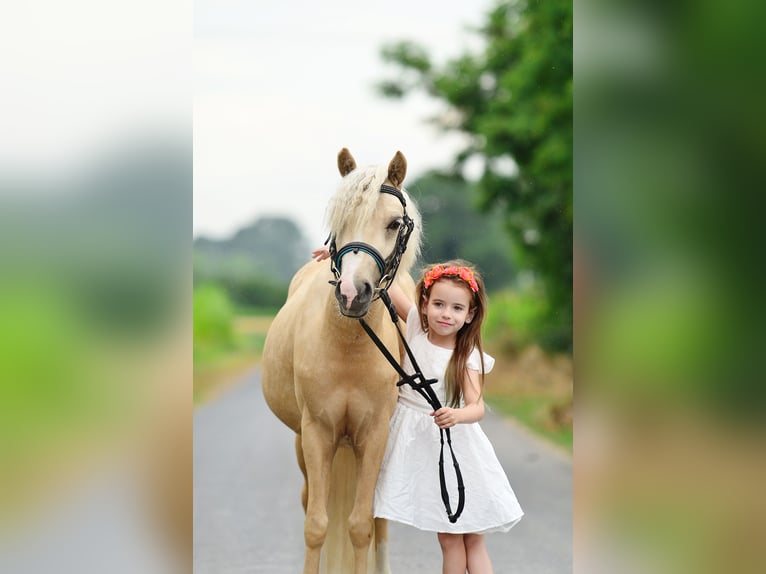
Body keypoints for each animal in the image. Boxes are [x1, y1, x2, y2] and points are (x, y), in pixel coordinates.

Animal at [262, 150, 420, 574]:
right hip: (303, 442)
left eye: (394, 223)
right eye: (338, 222)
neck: (349, 344)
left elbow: (362, 525)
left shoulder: (375, 436)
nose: (352, 293)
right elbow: (317, 525)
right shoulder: (317, 433)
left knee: (380, 521)